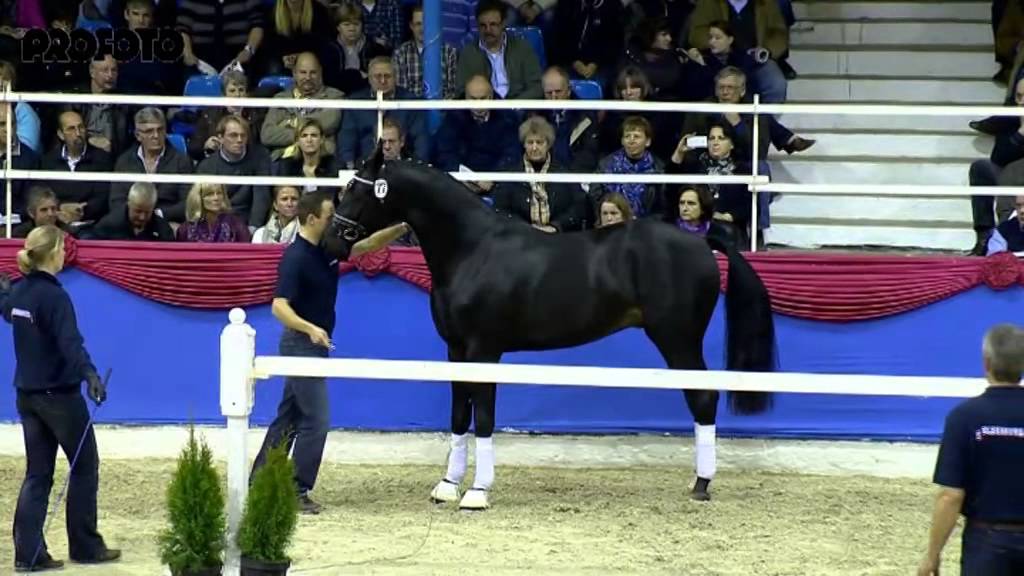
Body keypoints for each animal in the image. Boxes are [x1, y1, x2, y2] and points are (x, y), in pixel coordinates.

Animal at [325, 143, 776, 510]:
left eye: (359, 190)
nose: (330, 242)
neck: (473, 248)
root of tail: (701, 242)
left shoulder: (484, 350)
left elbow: (483, 416)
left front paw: (477, 492)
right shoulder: (456, 350)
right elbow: (458, 415)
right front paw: (447, 486)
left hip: (678, 340)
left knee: (703, 398)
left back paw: (701, 484)